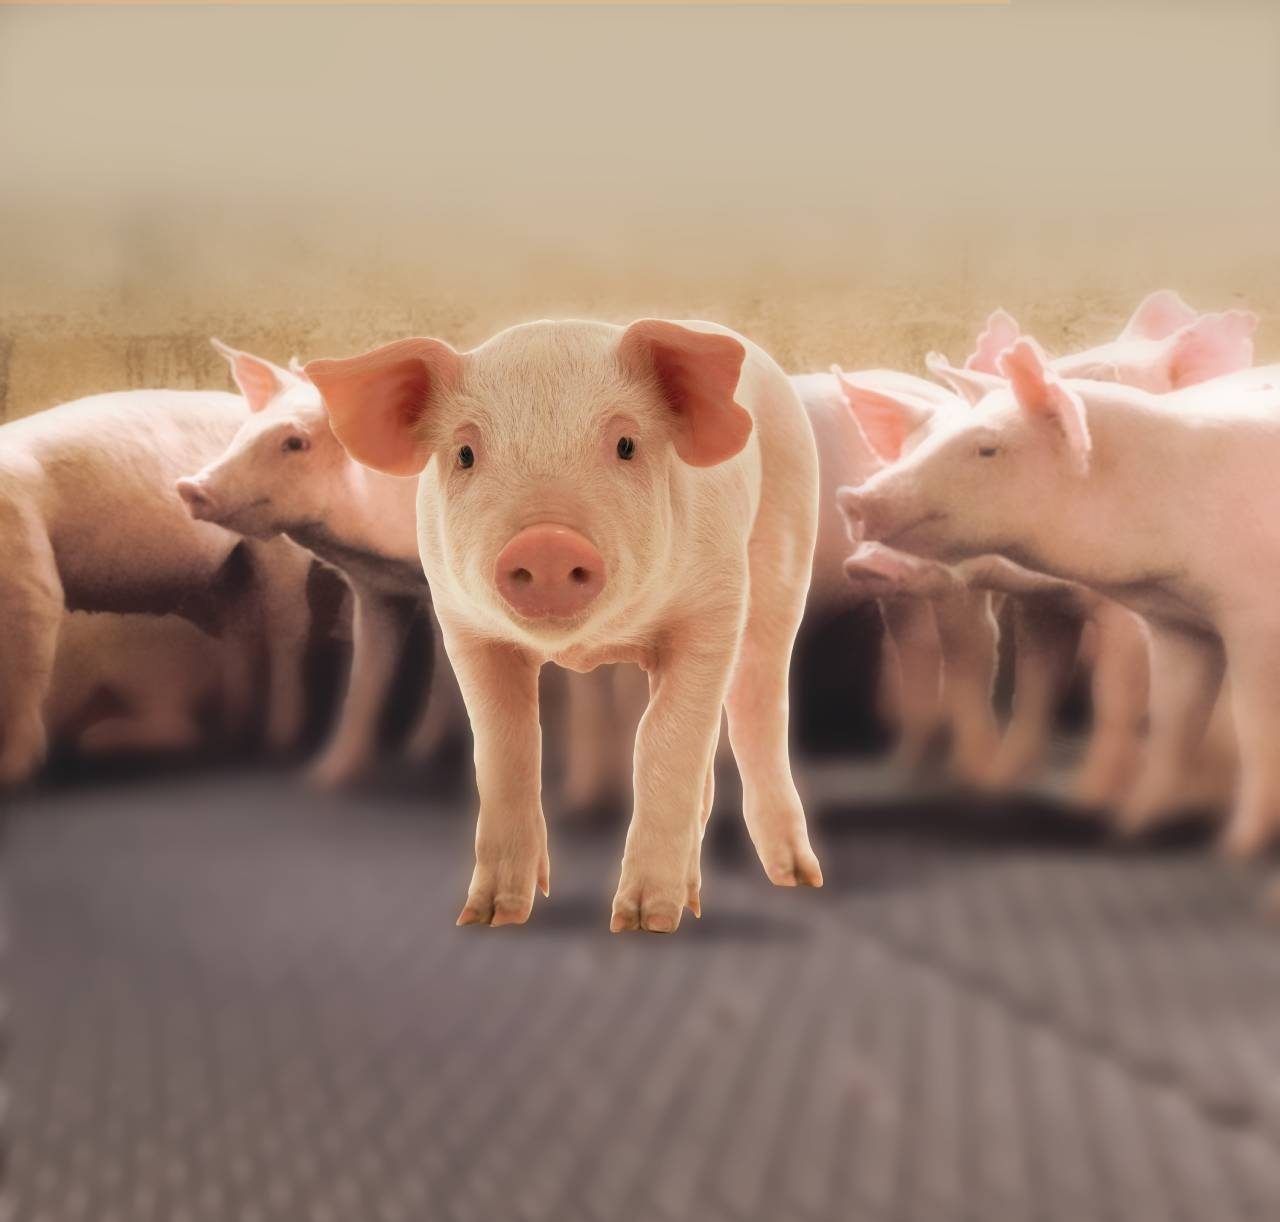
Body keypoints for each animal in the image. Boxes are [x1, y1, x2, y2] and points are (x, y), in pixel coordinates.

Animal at [175, 340, 467, 786]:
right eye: (242, 433)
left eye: (295, 443)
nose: (189, 486)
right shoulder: (378, 588)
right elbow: (367, 680)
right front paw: (324, 779)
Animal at [306, 319, 824, 932]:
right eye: (465, 453)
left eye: (626, 445)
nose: (547, 542)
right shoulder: (463, 625)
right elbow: (505, 748)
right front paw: (489, 917)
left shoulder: (714, 607)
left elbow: (664, 742)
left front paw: (644, 922)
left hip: (786, 544)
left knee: (758, 703)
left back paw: (796, 879)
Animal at [839, 338, 1280, 855]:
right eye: (914, 447)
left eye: (987, 449)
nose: (852, 499)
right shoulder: (1178, 625)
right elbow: (1171, 719)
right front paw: (1129, 829)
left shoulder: (1254, 620)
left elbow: (1253, 726)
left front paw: (1235, 850)